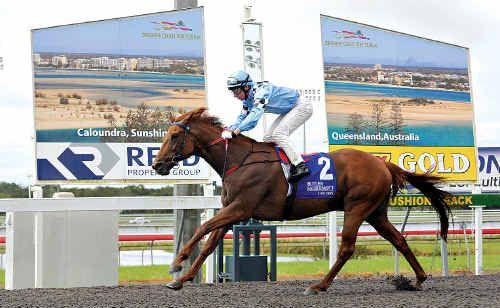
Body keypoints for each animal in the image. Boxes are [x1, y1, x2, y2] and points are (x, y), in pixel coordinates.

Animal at [151, 107, 450, 294]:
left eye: (175, 136)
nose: (157, 165)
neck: (239, 160)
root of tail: (382, 163)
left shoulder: (242, 207)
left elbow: (203, 228)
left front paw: (177, 263)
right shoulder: (231, 210)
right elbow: (210, 244)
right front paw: (181, 280)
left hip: (357, 207)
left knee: (346, 248)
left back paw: (319, 285)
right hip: (376, 212)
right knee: (399, 240)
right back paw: (419, 279)